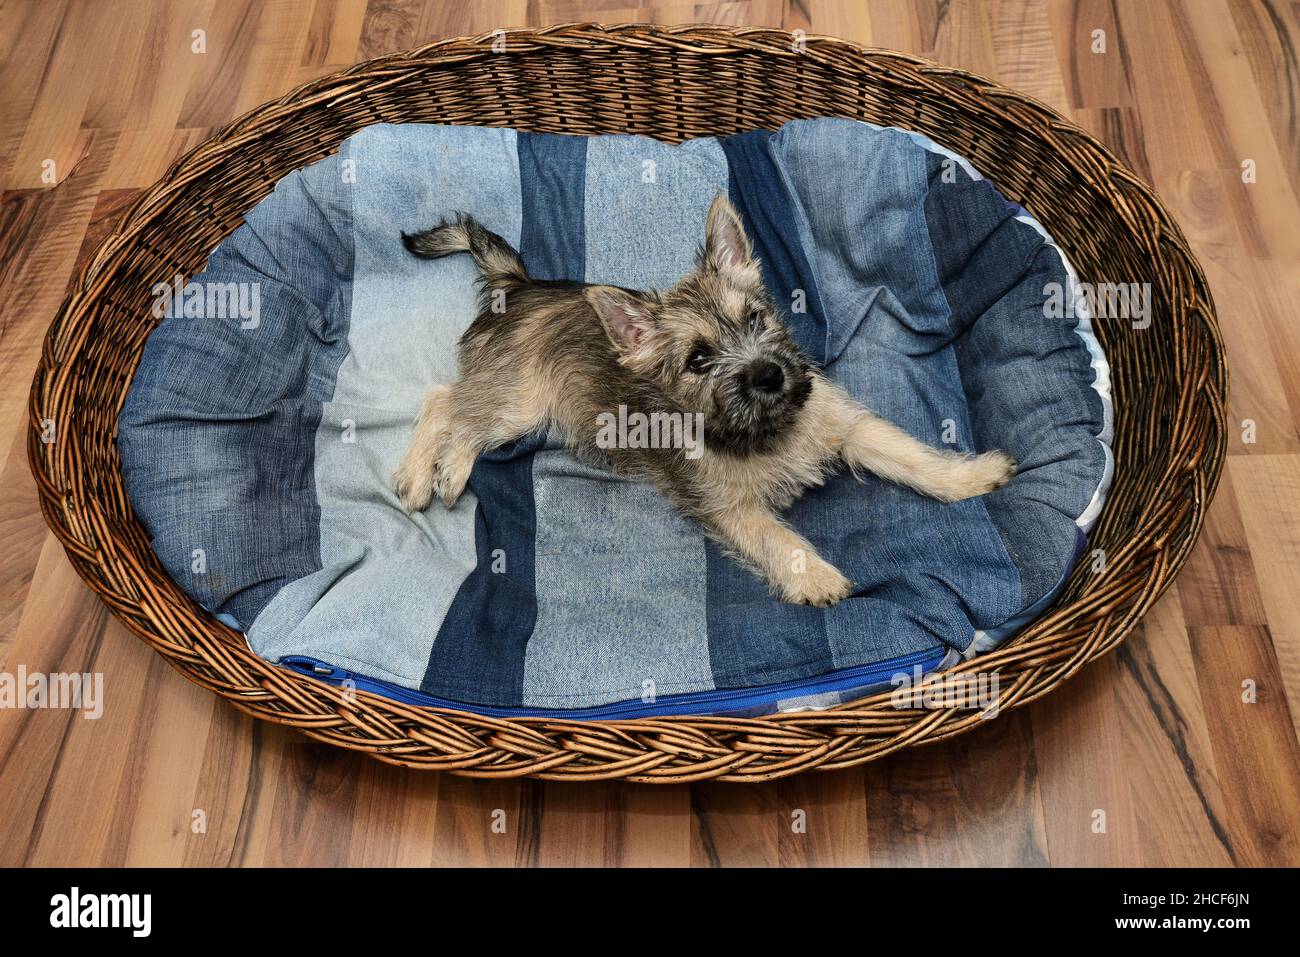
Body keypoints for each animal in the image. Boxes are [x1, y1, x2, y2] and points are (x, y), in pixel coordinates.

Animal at [395, 193, 1013, 605]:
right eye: (697, 360)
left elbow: (910, 455)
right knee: (445, 400)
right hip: (520, 403)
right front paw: (815, 577)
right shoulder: (729, 508)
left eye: (756, 319)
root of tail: (520, 286)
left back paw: (442, 470)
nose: (768, 375)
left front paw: (969, 476)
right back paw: (427, 474)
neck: (766, 432)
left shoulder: (846, 424)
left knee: (456, 403)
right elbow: (775, 536)